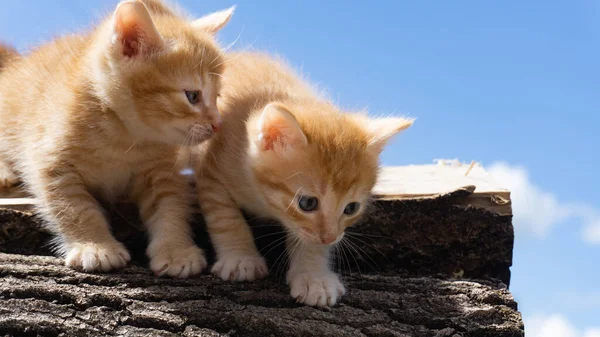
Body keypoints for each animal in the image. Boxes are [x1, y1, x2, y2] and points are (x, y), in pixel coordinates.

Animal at [0, 1, 234, 276]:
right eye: (193, 96)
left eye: (218, 96)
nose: (217, 124)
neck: (122, 138)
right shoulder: (49, 161)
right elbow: (74, 208)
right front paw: (95, 246)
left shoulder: (162, 171)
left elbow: (171, 208)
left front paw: (175, 250)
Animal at [195, 51, 414, 304]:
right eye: (307, 203)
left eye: (351, 208)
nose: (330, 238)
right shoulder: (210, 170)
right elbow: (225, 218)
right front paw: (241, 258)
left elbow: (310, 243)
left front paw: (314, 277)